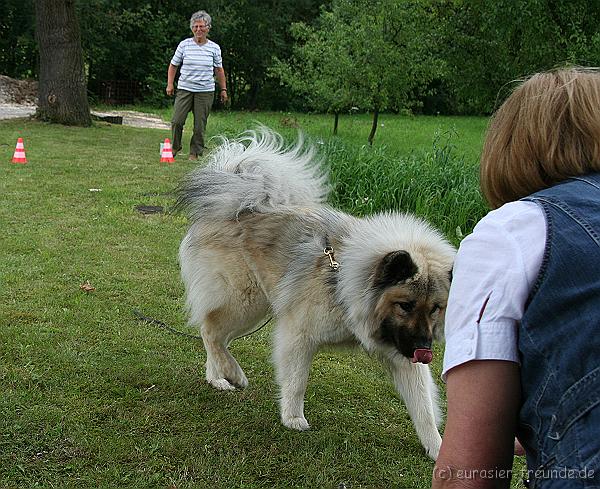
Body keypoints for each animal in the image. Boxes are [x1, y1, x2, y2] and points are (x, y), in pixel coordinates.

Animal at [176, 129, 458, 458]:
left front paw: (437, 447)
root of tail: (237, 201)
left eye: (435, 308)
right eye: (405, 305)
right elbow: (297, 380)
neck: (345, 278)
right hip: (244, 301)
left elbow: (423, 407)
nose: (425, 350)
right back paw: (232, 373)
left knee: (216, 335)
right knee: (210, 332)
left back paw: (218, 377)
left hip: (251, 307)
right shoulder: (299, 334)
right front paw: (293, 417)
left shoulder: (402, 351)